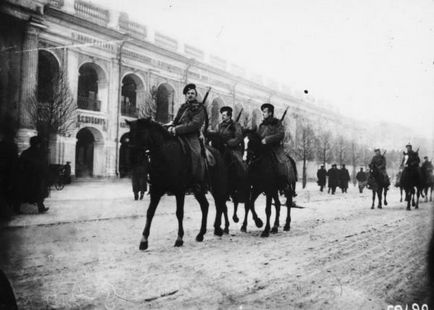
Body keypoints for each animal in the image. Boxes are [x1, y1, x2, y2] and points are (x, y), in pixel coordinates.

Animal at [127, 117, 229, 251]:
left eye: (141, 133)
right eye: (129, 136)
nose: (132, 159)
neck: (165, 155)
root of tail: (217, 153)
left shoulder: (179, 191)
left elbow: (179, 213)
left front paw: (179, 239)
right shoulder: (156, 190)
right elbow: (150, 212)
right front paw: (144, 241)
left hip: (217, 187)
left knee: (220, 204)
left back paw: (218, 228)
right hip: (198, 190)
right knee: (206, 206)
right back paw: (201, 234)